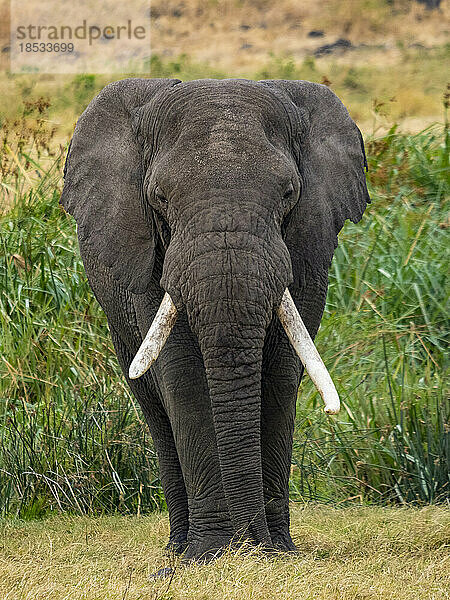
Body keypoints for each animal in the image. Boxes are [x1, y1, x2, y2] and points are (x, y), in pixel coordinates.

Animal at [59, 78, 370, 564]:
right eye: (160, 198)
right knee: (153, 406)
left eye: (288, 194)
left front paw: (276, 553)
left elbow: (281, 373)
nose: (250, 541)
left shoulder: (307, 251)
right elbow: (184, 376)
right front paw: (209, 556)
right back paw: (175, 555)